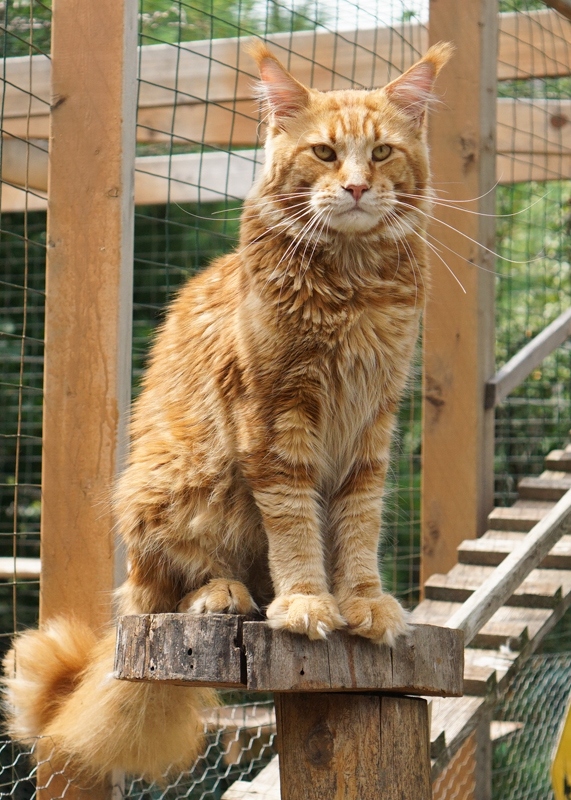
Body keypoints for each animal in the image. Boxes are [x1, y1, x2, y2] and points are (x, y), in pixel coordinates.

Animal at [2, 41, 452, 783]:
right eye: (325, 153)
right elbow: (296, 523)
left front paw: (360, 600)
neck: (353, 286)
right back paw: (225, 595)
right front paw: (307, 601)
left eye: (383, 152)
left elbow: (356, 525)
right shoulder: (276, 414)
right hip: (181, 489)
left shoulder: (372, 422)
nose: (358, 188)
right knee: (180, 583)